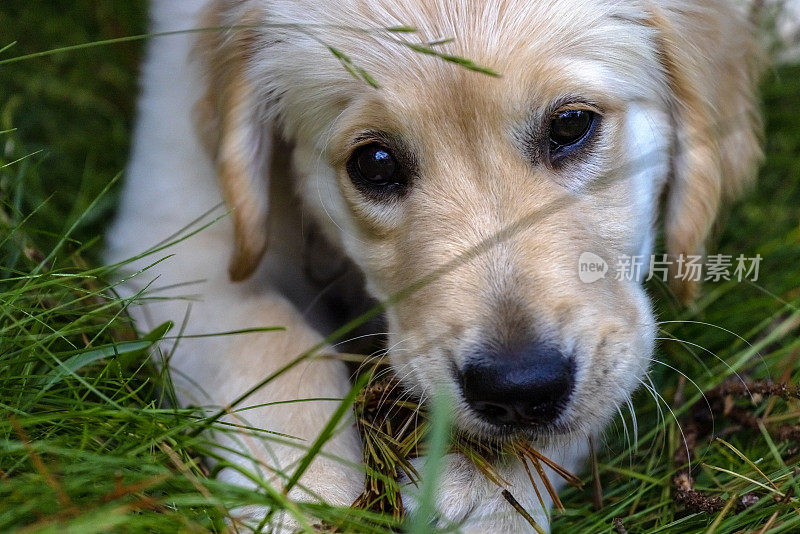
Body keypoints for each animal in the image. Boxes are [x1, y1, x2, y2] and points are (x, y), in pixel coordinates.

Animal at [106, 0, 764, 528]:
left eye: (571, 125)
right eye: (374, 163)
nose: (518, 388)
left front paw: (485, 495)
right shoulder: (173, 237)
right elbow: (269, 338)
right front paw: (303, 493)